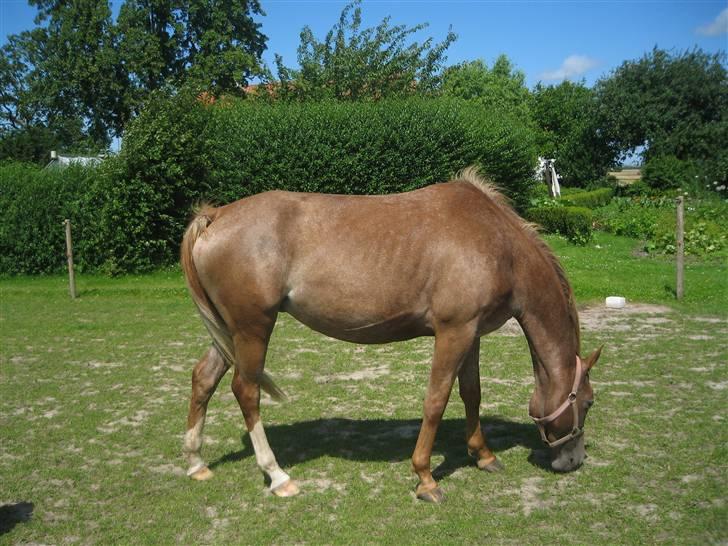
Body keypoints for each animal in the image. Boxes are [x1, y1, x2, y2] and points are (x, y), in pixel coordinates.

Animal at [179, 167, 600, 502]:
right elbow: (436, 401)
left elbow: (471, 393)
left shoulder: (472, 334)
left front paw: (483, 456)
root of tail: (215, 216)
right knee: (246, 391)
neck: (496, 243)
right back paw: (278, 476)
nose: (573, 461)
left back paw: (196, 463)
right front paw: (426, 479)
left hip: (232, 333)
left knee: (204, 378)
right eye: (589, 402)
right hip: (253, 329)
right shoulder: (453, 332)